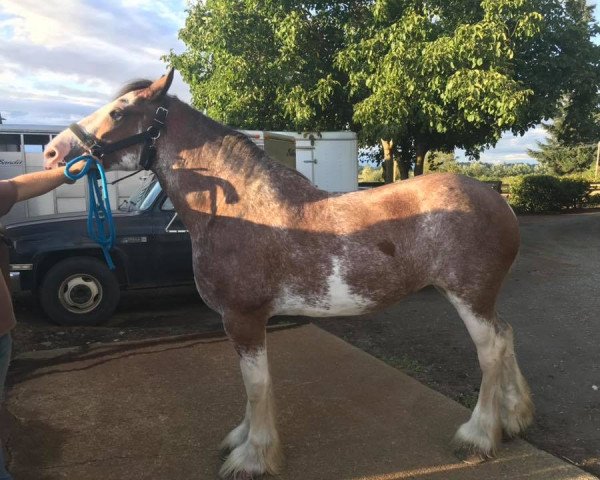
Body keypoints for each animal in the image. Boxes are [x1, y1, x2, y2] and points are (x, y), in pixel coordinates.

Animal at [44, 68, 536, 480]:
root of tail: (500, 201)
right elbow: (251, 387)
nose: (53, 151)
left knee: (490, 351)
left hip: (469, 296)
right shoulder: (244, 321)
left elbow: (257, 385)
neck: (240, 211)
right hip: (478, 298)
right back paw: (515, 418)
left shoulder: (243, 318)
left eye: (120, 111)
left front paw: (253, 457)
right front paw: (241, 440)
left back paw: (478, 435)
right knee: (507, 334)